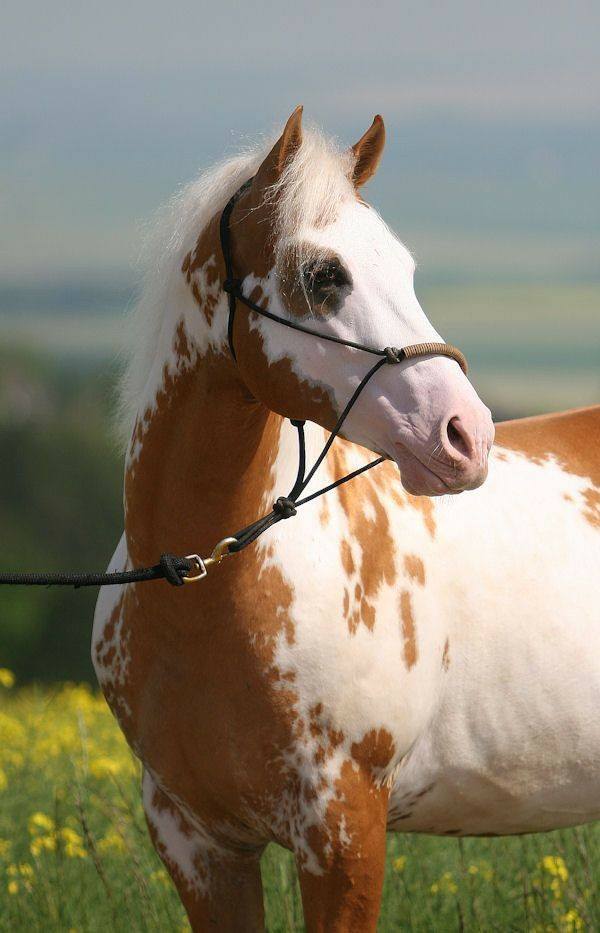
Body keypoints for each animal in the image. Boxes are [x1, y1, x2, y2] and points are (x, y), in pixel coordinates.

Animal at [92, 107, 600, 931]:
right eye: (323, 275)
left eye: (406, 267)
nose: (466, 435)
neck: (206, 589)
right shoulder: (195, 841)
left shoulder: (345, 827)